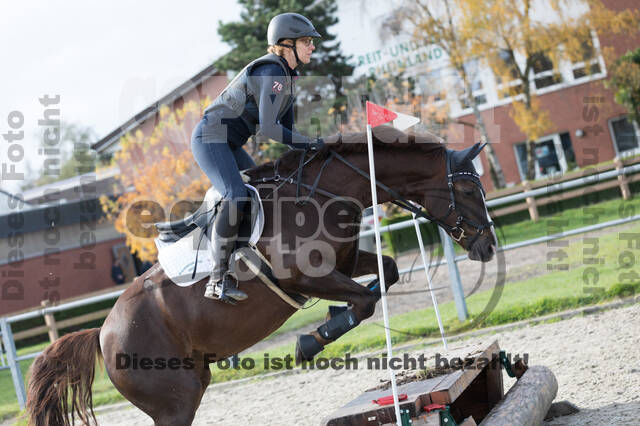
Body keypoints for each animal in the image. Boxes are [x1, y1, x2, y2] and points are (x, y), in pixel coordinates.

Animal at [26, 125, 496, 424]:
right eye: (467, 189)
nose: (489, 246)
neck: (322, 196)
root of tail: (102, 333)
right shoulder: (306, 276)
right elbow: (363, 301)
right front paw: (310, 342)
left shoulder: (343, 263)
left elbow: (387, 274)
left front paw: (329, 320)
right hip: (174, 402)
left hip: (193, 383)